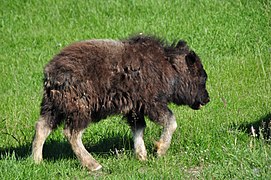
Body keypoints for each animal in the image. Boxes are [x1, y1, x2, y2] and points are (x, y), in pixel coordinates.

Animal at [31, 34, 210, 171]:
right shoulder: (152, 104)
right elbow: (171, 122)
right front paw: (159, 150)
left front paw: (142, 156)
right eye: (202, 77)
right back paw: (93, 165)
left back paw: (37, 161)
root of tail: (51, 73)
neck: (168, 65)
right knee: (72, 133)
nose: (207, 99)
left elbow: (138, 129)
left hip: (52, 108)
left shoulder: (135, 109)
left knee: (42, 128)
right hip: (79, 110)